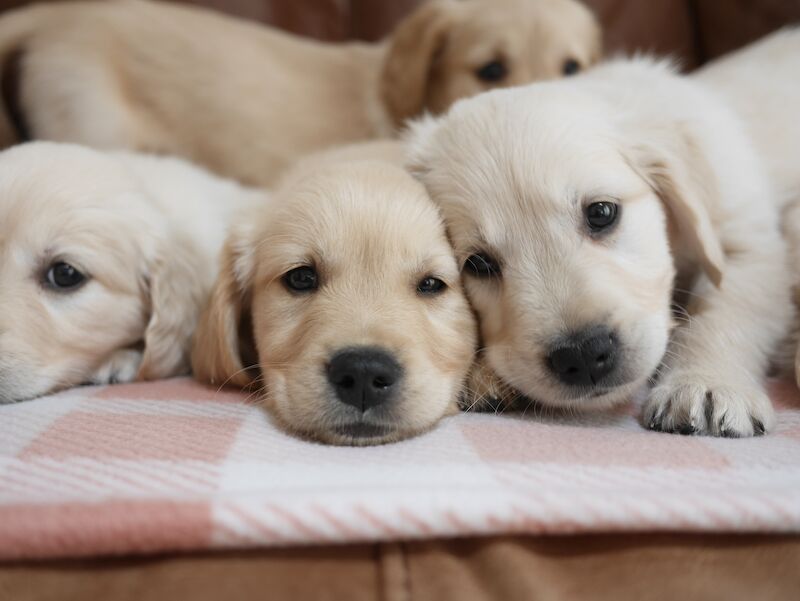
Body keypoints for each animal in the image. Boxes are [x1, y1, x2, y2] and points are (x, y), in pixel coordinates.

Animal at [410, 58, 796, 436]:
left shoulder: (746, 240)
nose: (582, 355)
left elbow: (724, 310)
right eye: (478, 264)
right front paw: (484, 375)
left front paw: (705, 383)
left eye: (601, 212)